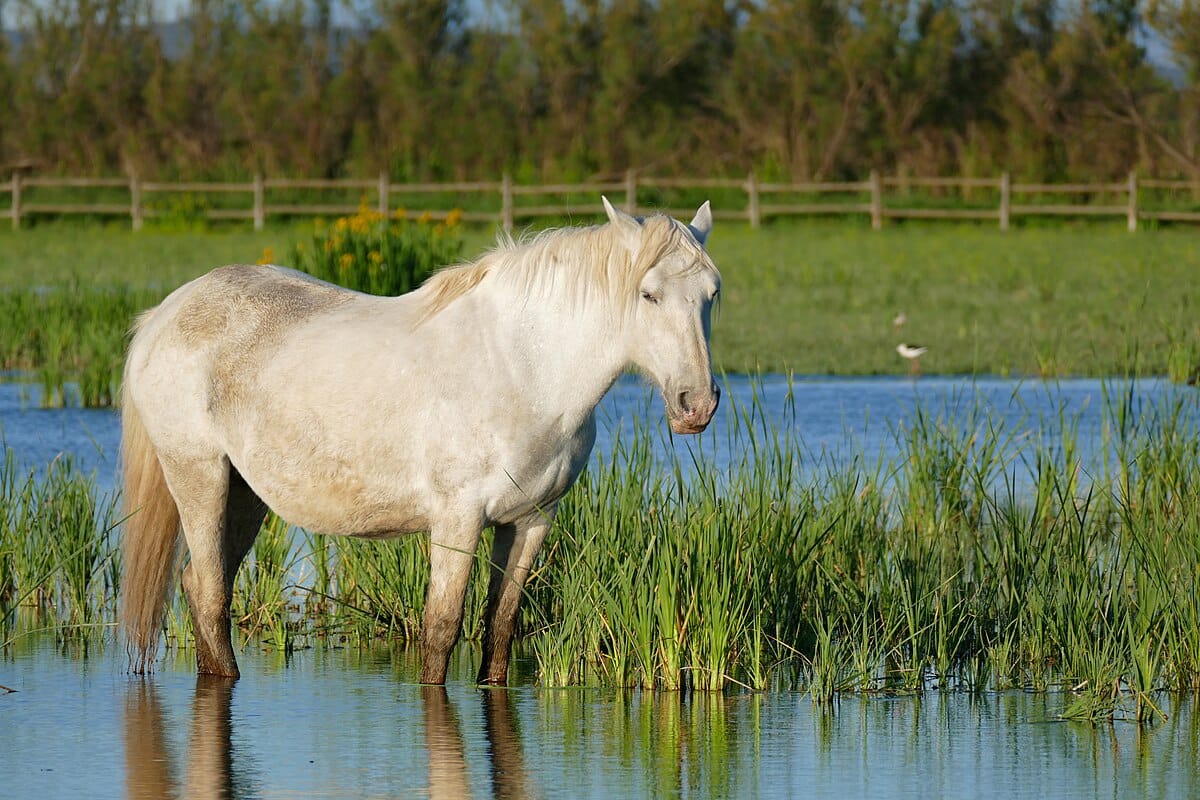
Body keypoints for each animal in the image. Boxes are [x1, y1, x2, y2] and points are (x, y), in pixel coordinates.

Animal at [119, 197, 721, 685]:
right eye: (648, 295)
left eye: (711, 295)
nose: (697, 404)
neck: (523, 367)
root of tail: (165, 314)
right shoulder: (458, 520)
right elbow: (441, 631)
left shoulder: (531, 521)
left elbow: (500, 628)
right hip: (200, 478)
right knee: (211, 593)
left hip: (245, 495)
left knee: (201, 586)